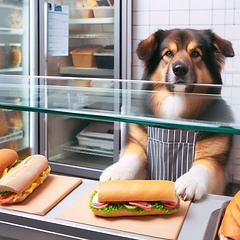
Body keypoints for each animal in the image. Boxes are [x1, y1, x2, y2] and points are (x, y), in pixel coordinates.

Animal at [99, 28, 234, 201]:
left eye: (195, 53)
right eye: (168, 53)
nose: (179, 69)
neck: (176, 100)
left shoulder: (215, 160)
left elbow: (203, 167)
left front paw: (190, 181)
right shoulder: (138, 143)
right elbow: (132, 156)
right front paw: (116, 171)